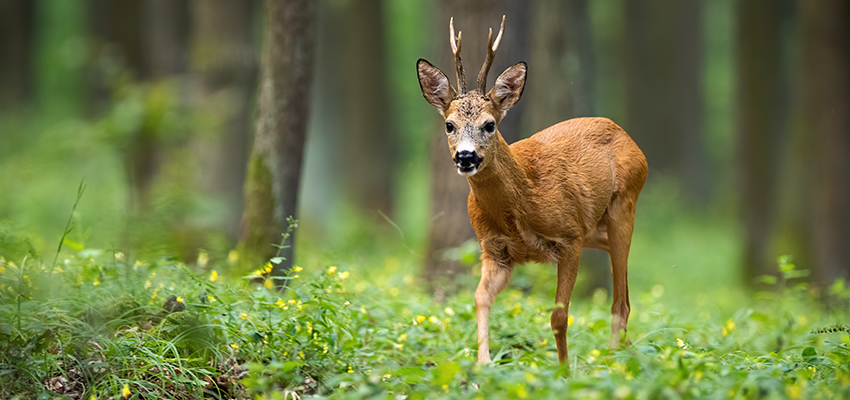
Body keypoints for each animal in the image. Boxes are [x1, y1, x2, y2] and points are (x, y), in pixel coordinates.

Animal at [414, 16, 644, 366]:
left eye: (490, 124)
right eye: (449, 124)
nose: (466, 157)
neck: (521, 204)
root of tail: (630, 139)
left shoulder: (570, 237)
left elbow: (559, 316)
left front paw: (563, 370)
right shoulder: (495, 249)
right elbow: (480, 298)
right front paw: (484, 363)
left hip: (624, 204)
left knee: (621, 300)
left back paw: (613, 358)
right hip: (597, 227)